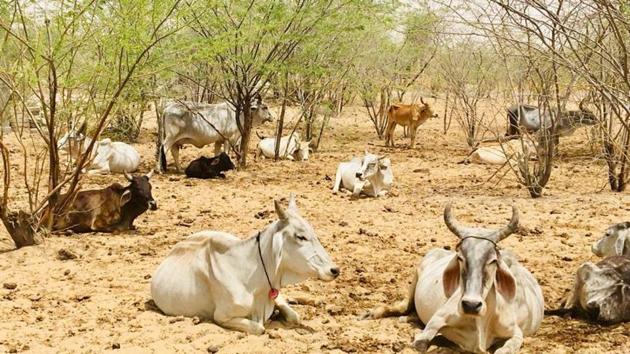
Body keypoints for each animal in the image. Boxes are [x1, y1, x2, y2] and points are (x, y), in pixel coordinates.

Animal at [362, 205, 544, 354]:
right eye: (460, 257)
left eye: (493, 260)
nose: (471, 305)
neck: (480, 323)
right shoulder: (437, 320)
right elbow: (421, 342)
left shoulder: (516, 334)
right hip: (416, 276)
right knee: (402, 307)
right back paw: (372, 313)